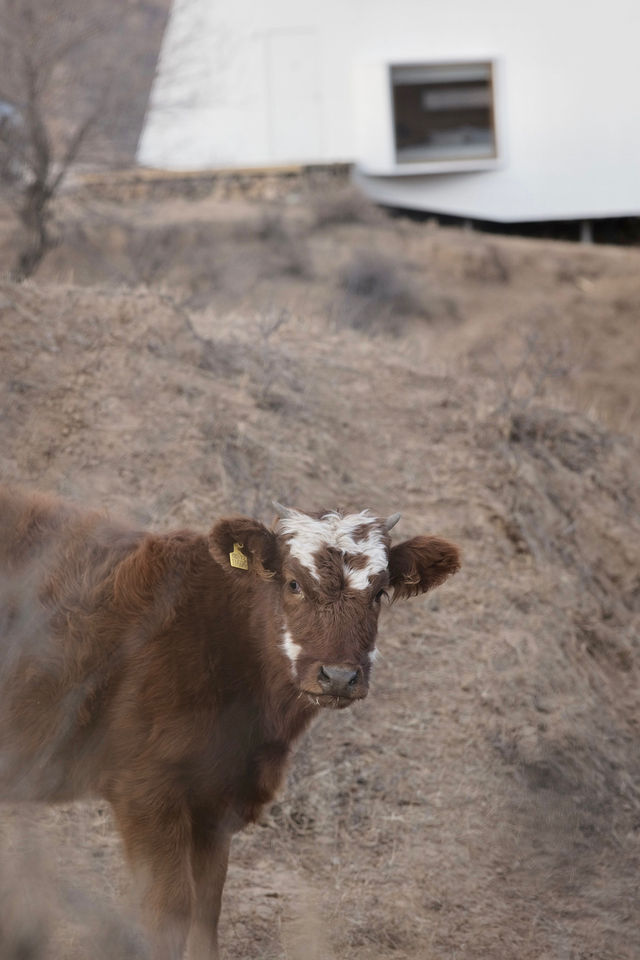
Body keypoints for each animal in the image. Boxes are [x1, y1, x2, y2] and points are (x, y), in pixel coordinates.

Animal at [0, 492, 460, 956]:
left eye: (380, 592)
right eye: (293, 584)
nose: (339, 676)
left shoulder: (217, 800)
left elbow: (207, 906)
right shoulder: (145, 792)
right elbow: (168, 910)